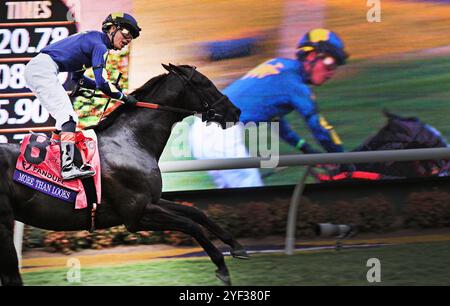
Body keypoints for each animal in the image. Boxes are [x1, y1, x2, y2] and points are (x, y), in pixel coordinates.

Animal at [0, 63, 246, 286]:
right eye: (205, 83)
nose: (235, 111)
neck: (131, 141)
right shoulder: (136, 214)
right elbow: (190, 225)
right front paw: (221, 266)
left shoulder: (152, 201)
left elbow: (196, 213)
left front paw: (237, 246)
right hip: (5, 224)